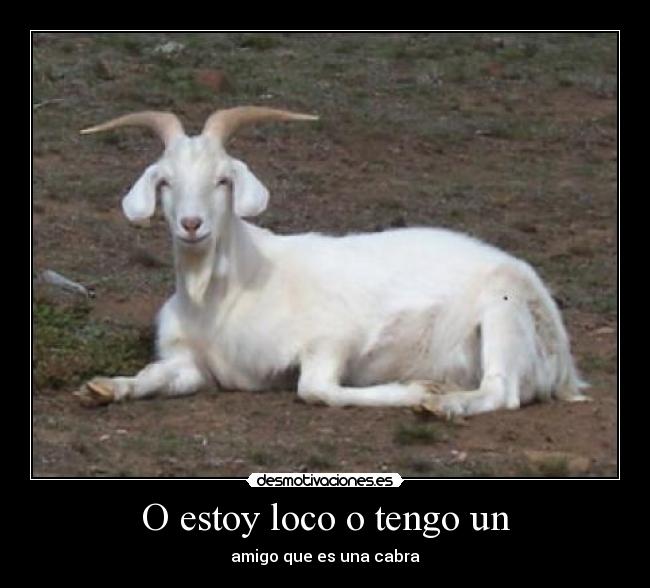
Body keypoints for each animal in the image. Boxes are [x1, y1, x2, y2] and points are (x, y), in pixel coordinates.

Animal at [75, 106, 587, 417]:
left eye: (223, 179)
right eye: (164, 182)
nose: (191, 224)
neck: (222, 295)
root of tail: (565, 365)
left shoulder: (333, 340)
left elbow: (316, 389)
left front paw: (422, 390)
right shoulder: (191, 366)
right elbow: (155, 375)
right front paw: (104, 387)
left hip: (503, 310)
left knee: (502, 390)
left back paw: (446, 405)